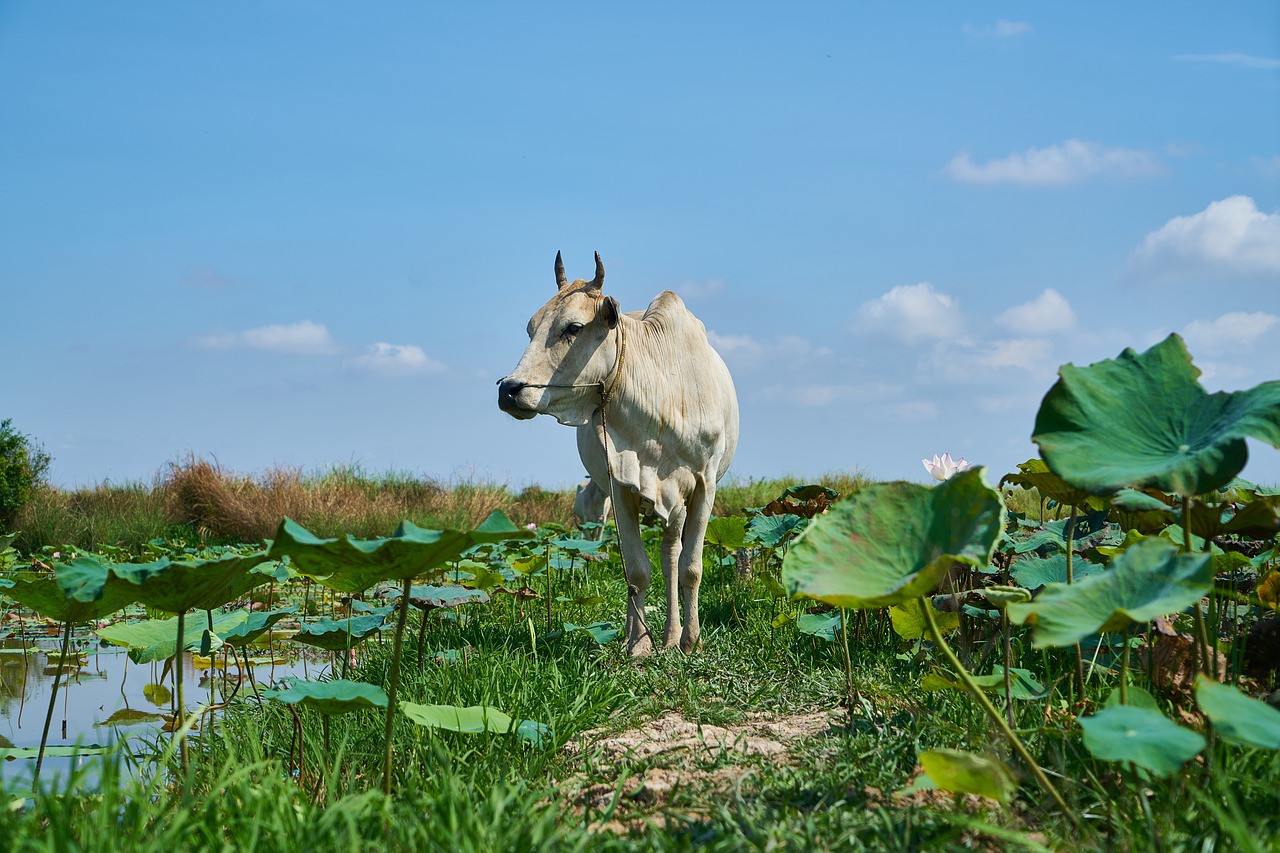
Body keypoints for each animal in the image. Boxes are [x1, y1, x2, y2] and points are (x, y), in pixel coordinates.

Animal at [499, 251, 742, 650]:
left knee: (671, 555)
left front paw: (690, 641)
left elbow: (690, 569)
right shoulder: (620, 488)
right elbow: (637, 571)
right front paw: (639, 645)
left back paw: (673, 635)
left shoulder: (705, 485)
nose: (509, 389)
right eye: (531, 329)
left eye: (573, 327)